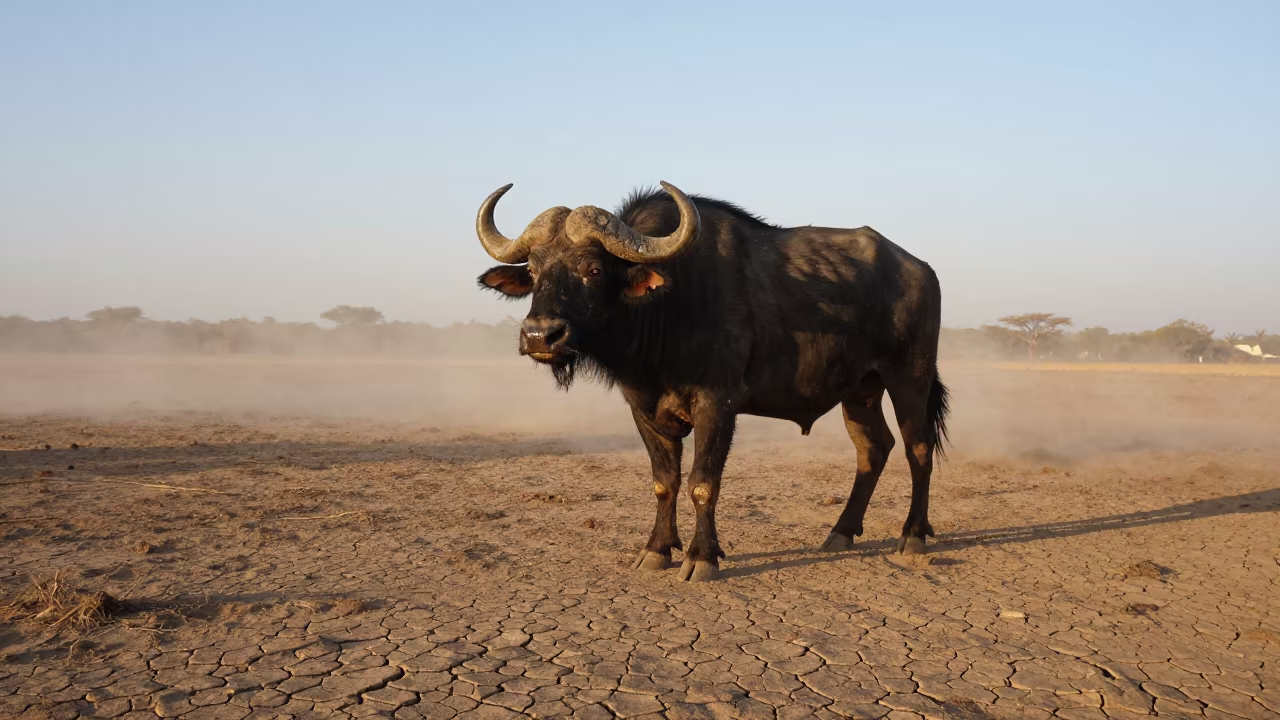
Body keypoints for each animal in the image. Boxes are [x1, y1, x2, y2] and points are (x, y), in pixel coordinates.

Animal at [475, 182, 950, 582]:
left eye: (592, 269)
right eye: (534, 271)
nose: (541, 335)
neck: (667, 308)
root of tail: (922, 269)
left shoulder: (717, 404)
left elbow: (702, 483)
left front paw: (701, 558)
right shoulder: (642, 407)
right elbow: (664, 481)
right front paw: (657, 550)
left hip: (909, 375)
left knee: (918, 447)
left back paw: (913, 534)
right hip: (860, 390)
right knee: (873, 449)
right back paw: (841, 533)